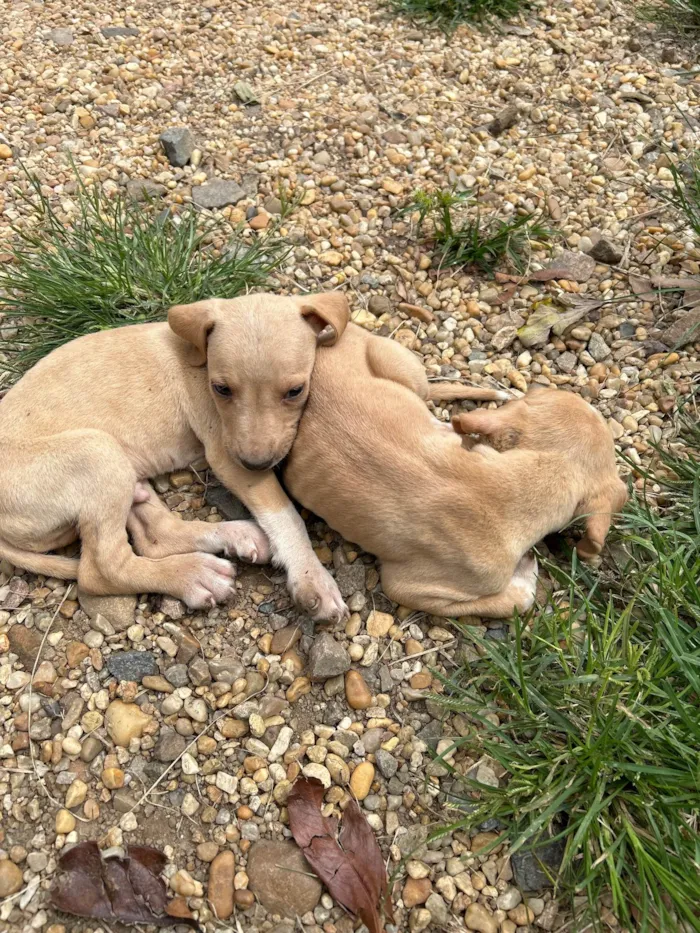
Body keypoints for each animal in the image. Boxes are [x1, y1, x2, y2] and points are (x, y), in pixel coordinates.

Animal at [0, 292, 350, 620]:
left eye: (295, 391)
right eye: (221, 389)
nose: (256, 464)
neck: (198, 358)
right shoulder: (225, 454)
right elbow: (286, 515)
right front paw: (311, 577)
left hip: (124, 469)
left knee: (155, 537)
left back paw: (233, 537)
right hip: (97, 452)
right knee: (102, 570)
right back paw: (194, 576)